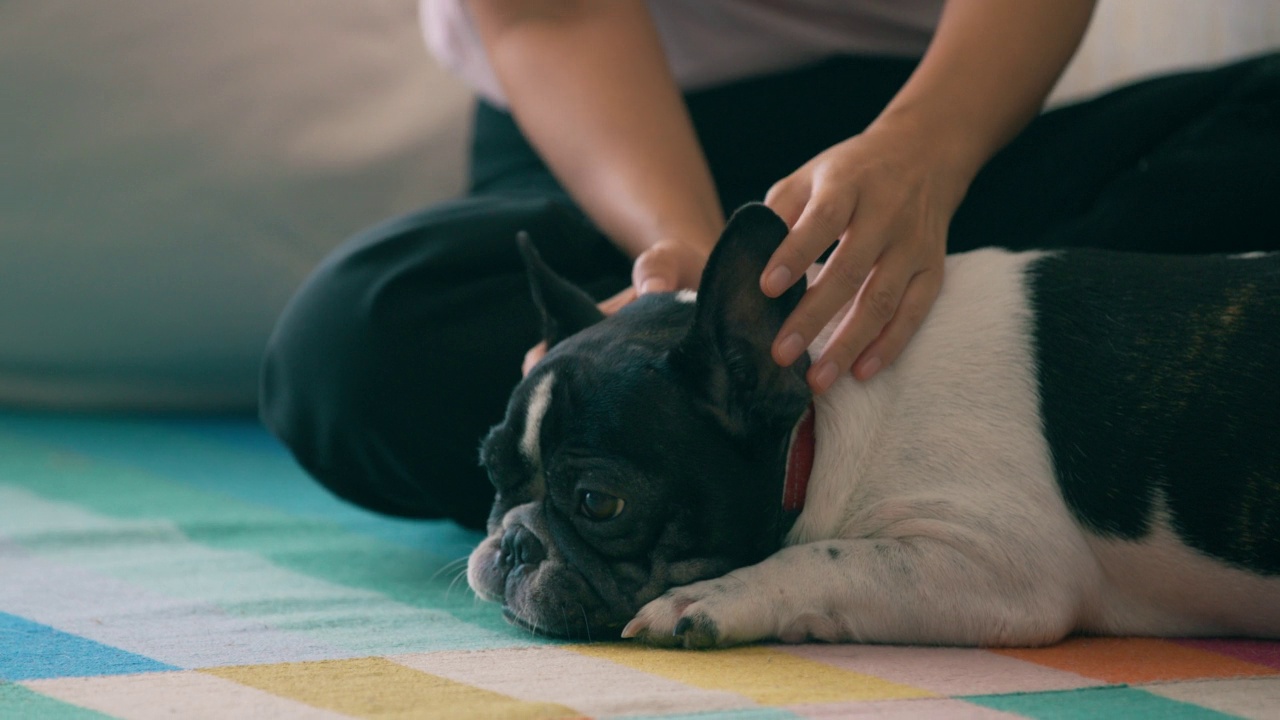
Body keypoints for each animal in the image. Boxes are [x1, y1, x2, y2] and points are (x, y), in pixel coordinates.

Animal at [471, 199, 1280, 645]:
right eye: (492, 474)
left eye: (597, 503)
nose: (511, 542)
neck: (822, 426)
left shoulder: (1007, 565)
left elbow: (826, 558)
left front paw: (715, 602)